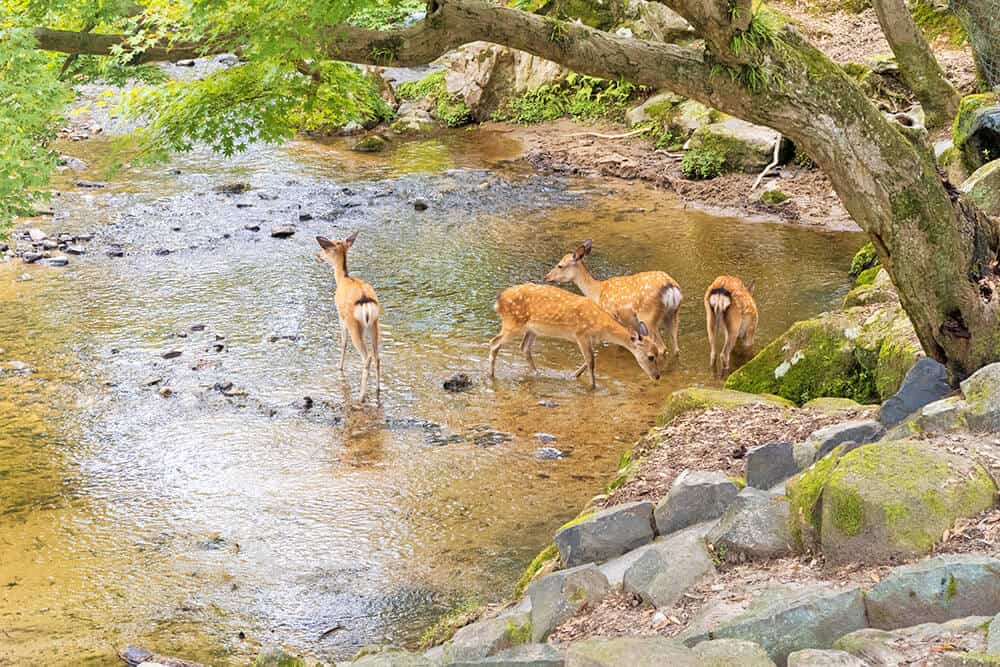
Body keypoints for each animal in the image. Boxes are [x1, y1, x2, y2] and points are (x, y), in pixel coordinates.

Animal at [316, 232, 382, 404]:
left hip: (354, 326)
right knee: (377, 356)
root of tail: (365, 301)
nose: (317, 255)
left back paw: (361, 396)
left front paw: (339, 367)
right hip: (375, 324)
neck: (342, 279)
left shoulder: (340, 316)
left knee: (367, 356)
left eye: (325, 249)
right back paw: (377, 390)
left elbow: (343, 342)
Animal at [486, 284, 660, 388]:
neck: (601, 328)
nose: (657, 376)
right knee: (494, 342)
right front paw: (593, 386)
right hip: (512, 323)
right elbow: (591, 361)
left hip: (532, 329)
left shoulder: (592, 339)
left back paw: (538, 373)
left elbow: (589, 360)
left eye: (658, 353)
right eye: (650, 356)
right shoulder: (581, 334)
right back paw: (491, 375)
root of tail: (498, 301)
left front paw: (573, 375)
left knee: (524, 348)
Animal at [544, 237, 684, 358]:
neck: (597, 292)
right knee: (676, 347)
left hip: (648, 317)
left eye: (560, 265)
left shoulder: (611, 314)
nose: (547, 276)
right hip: (672, 314)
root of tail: (671, 288)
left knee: (662, 348)